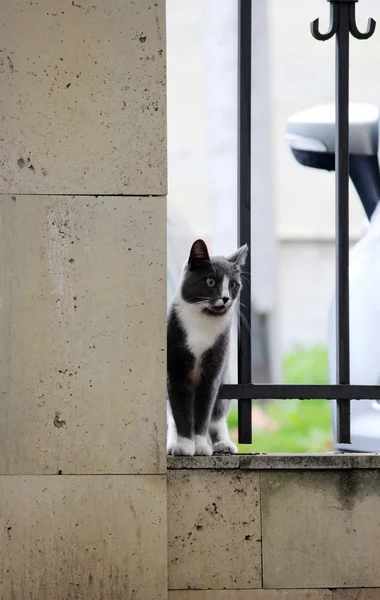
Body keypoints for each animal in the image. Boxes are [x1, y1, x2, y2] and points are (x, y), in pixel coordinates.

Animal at [167, 238, 249, 454]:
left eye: (233, 284)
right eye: (210, 281)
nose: (226, 298)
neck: (203, 322)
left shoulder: (213, 369)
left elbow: (204, 410)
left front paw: (201, 446)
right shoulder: (175, 370)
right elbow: (180, 409)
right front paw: (184, 445)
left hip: (225, 376)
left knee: (218, 415)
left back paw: (223, 444)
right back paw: (172, 444)